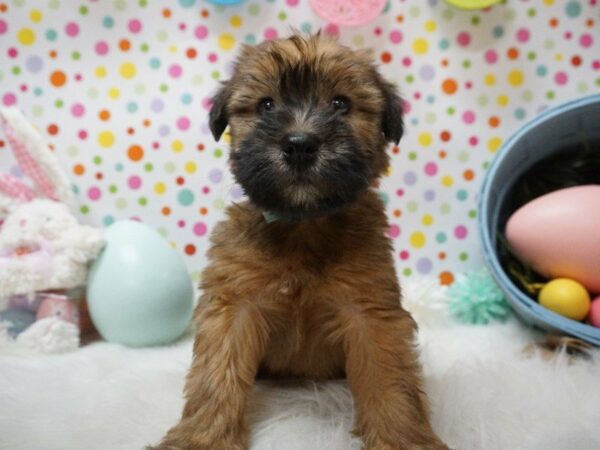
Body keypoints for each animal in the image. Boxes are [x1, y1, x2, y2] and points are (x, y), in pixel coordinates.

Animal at [152, 34, 448, 450]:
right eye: (266, 105)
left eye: (340, 104)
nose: (299, 144)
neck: (302, 227)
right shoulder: (234, 306)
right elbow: (216, 377)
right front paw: (202, 439)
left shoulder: (369, 312)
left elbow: (390, 382)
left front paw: (402, 439)